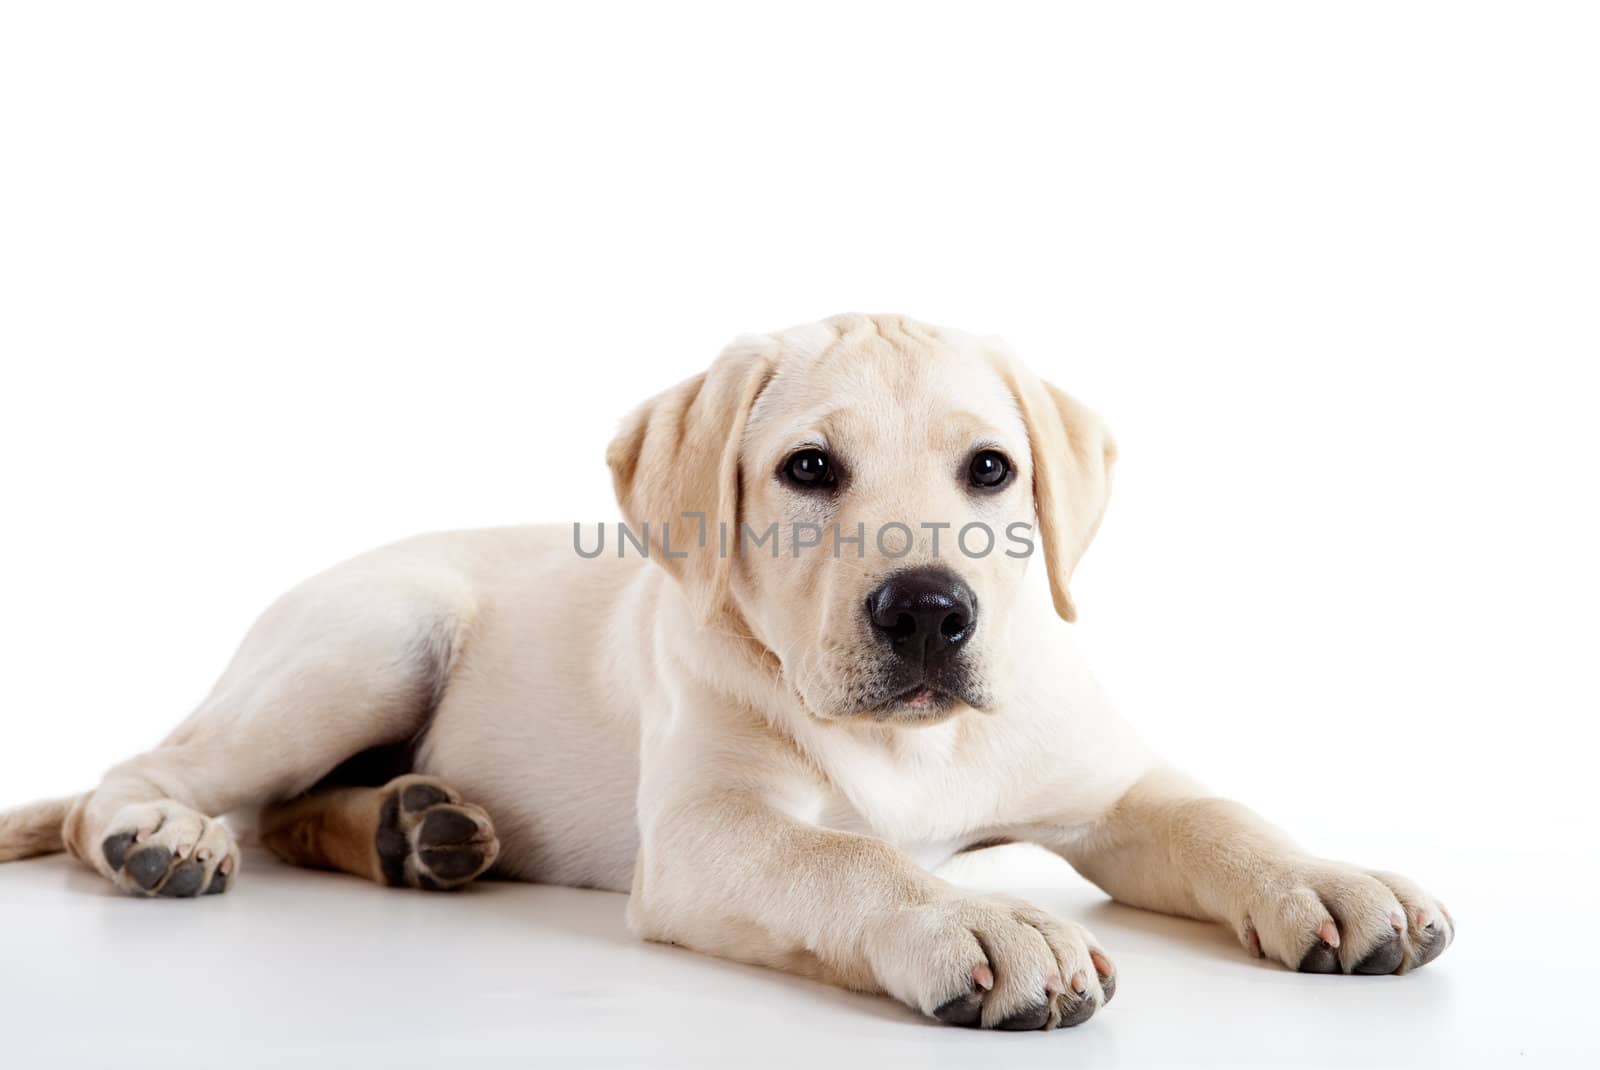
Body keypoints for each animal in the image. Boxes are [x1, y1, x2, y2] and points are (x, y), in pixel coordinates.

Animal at [0, 315, 1452, 1023]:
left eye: (991, 468)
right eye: (809, 468)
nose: (929, 610)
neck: (916, 741)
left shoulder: (1109, 781)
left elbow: (1218, 812)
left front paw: (1329, 878)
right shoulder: (708, 832)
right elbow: (843, 856)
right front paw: (974, 917)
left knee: (298, 812)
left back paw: (423, 825)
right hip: (374, 637)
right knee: (149, 774)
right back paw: (159, 833)